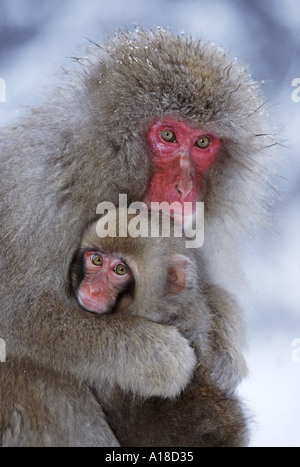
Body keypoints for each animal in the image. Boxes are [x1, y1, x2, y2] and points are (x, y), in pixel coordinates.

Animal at [0, 31, 272, 448]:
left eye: (203, 143)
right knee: (33, 374)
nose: (183, 188)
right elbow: (20, 314)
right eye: (168, 135)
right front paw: (160, 359)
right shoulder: (41, 193)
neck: (98, 166)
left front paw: (223, 350)